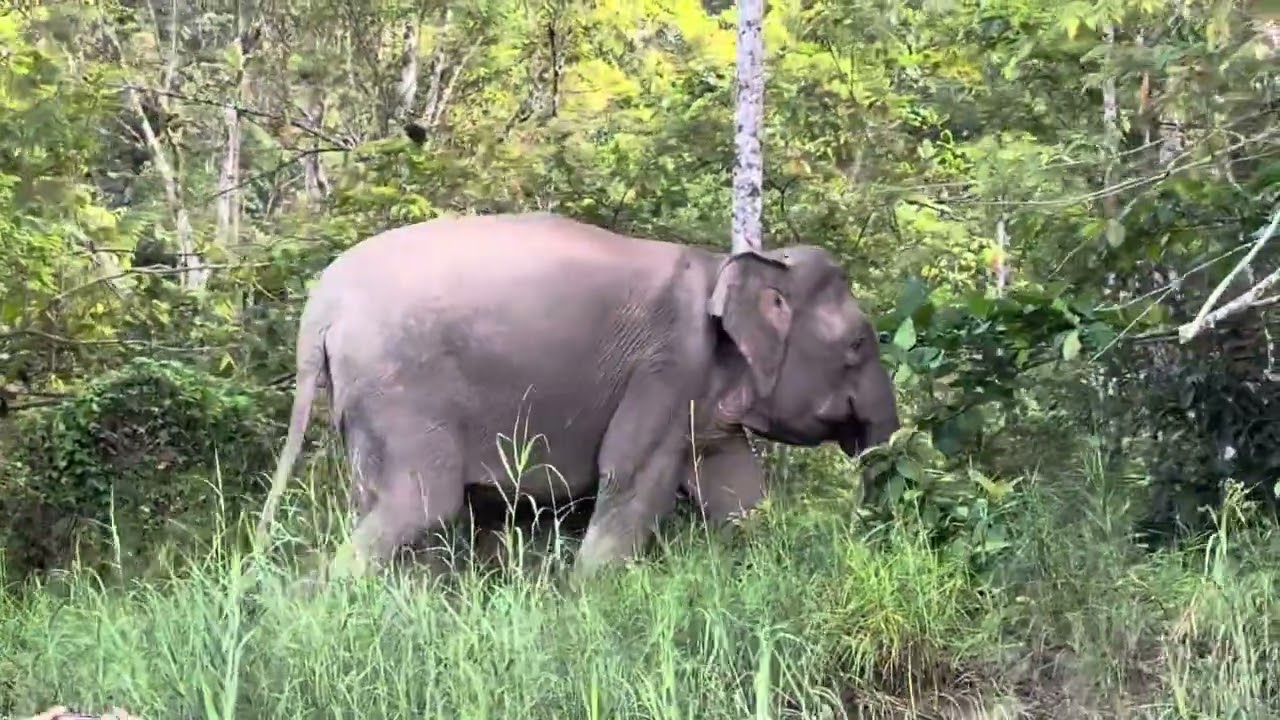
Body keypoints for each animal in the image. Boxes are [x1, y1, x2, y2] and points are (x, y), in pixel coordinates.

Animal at [254, 212, 901, 581]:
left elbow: (737, 489)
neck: (727, 264)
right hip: (401, 389)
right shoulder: (670, 365)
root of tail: (320, 307)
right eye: (858, 345)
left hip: (365, 403)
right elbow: (632, 477)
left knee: (379, 503)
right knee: (419, 506)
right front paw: (592, 596)